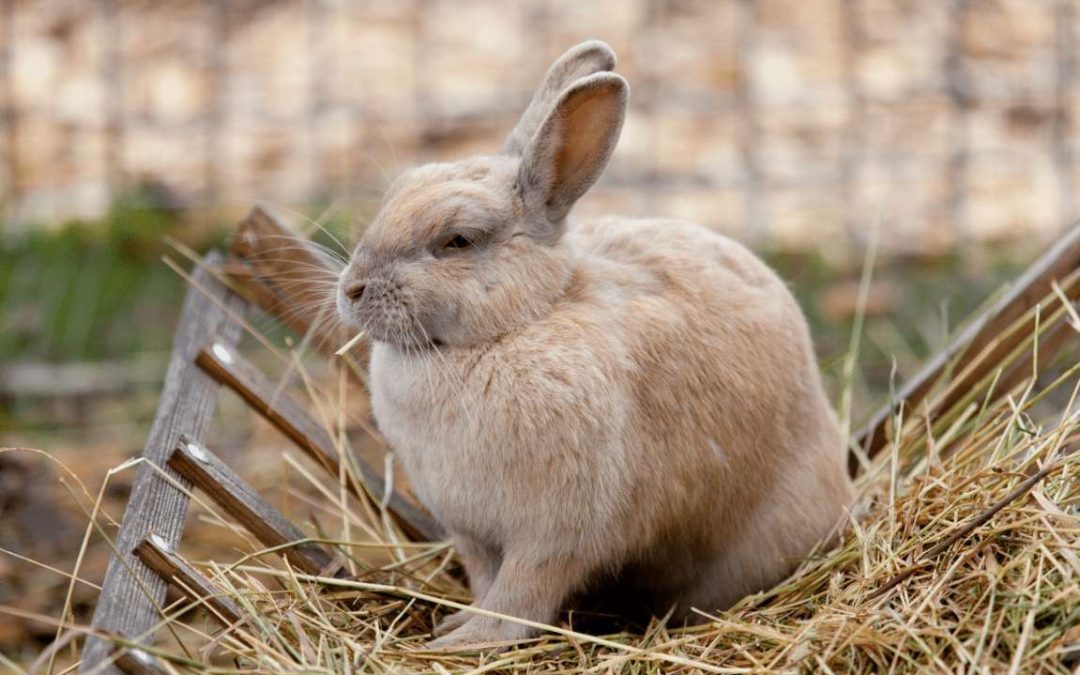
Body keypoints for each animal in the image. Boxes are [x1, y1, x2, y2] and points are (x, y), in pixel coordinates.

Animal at [332, 38, 855, 648]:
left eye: (457, 240)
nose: (351, 288)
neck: (518, 324)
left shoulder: (553, 533)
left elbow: (520, 595)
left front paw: (470, 640)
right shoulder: (472, 534)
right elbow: (486, 581)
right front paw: (458, 623)